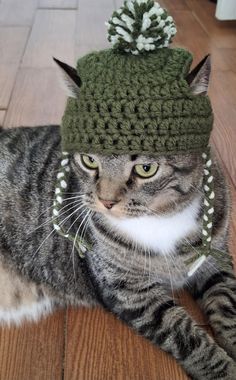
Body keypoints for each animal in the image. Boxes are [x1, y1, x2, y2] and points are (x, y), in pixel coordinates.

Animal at [0, 56, 235, 380]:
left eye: (146, 168)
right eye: (89, 160)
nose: (106, 202)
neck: (162, 216)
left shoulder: (216, 259)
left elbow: (228, 304)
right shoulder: (130, 291)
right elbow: (186, 334)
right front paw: (225, 370)